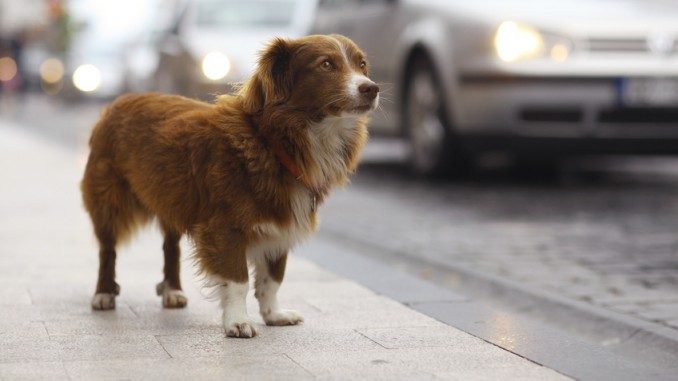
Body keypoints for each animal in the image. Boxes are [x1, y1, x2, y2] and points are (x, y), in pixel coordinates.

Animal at [81, 35, 380, 336]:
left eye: (362, 65)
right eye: (326, 64)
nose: (372, 88)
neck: (272, 142)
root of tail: (119, 101)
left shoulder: (280, 226)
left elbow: (273, 279)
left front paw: (274, 314)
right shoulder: (226, 227)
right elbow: (238, 281)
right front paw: (237, 321)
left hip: (171, 197)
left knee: (171, 247)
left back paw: (172, 291)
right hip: (108, 200)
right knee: (107, 249)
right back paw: (103, 293)